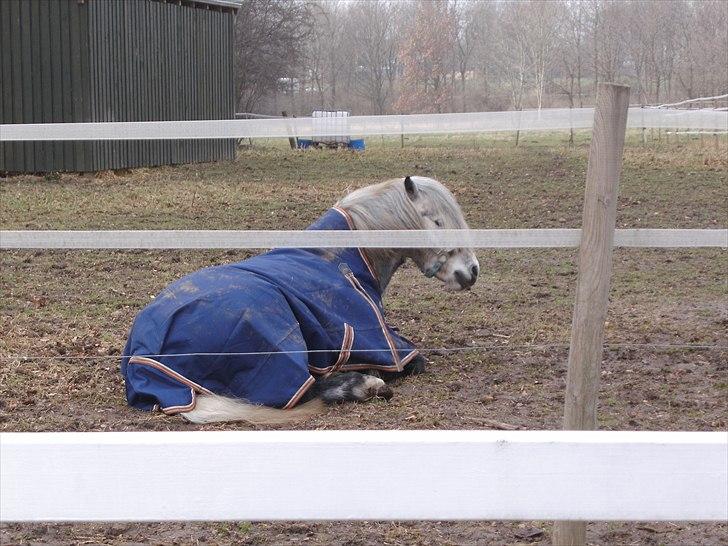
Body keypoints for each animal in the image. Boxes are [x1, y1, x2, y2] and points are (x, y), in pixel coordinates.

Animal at [121, 176, 478, 422]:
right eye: (436, 221)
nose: (472, 271)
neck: (346, 258)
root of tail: (143, 354)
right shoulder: (376, 339)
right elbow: (414, 362)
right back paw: (363, 386)